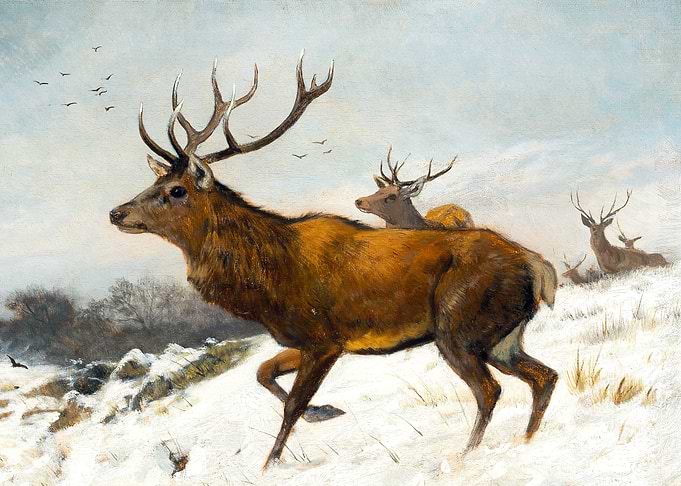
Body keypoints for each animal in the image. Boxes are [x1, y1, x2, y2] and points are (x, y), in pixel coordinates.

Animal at [110, 52, 558, 468]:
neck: (266, 281)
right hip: (502, 336)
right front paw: (326, 411)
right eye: (154, 180)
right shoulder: (302, 340)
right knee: (544, 376)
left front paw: (271, 462)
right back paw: (525, 441)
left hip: (459, 328)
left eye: (176, 190)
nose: (116, 213)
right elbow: (264, 372)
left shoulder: (324, 339)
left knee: (490, 390)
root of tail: (537, 265)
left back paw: (467, 455)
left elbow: (291, 405)